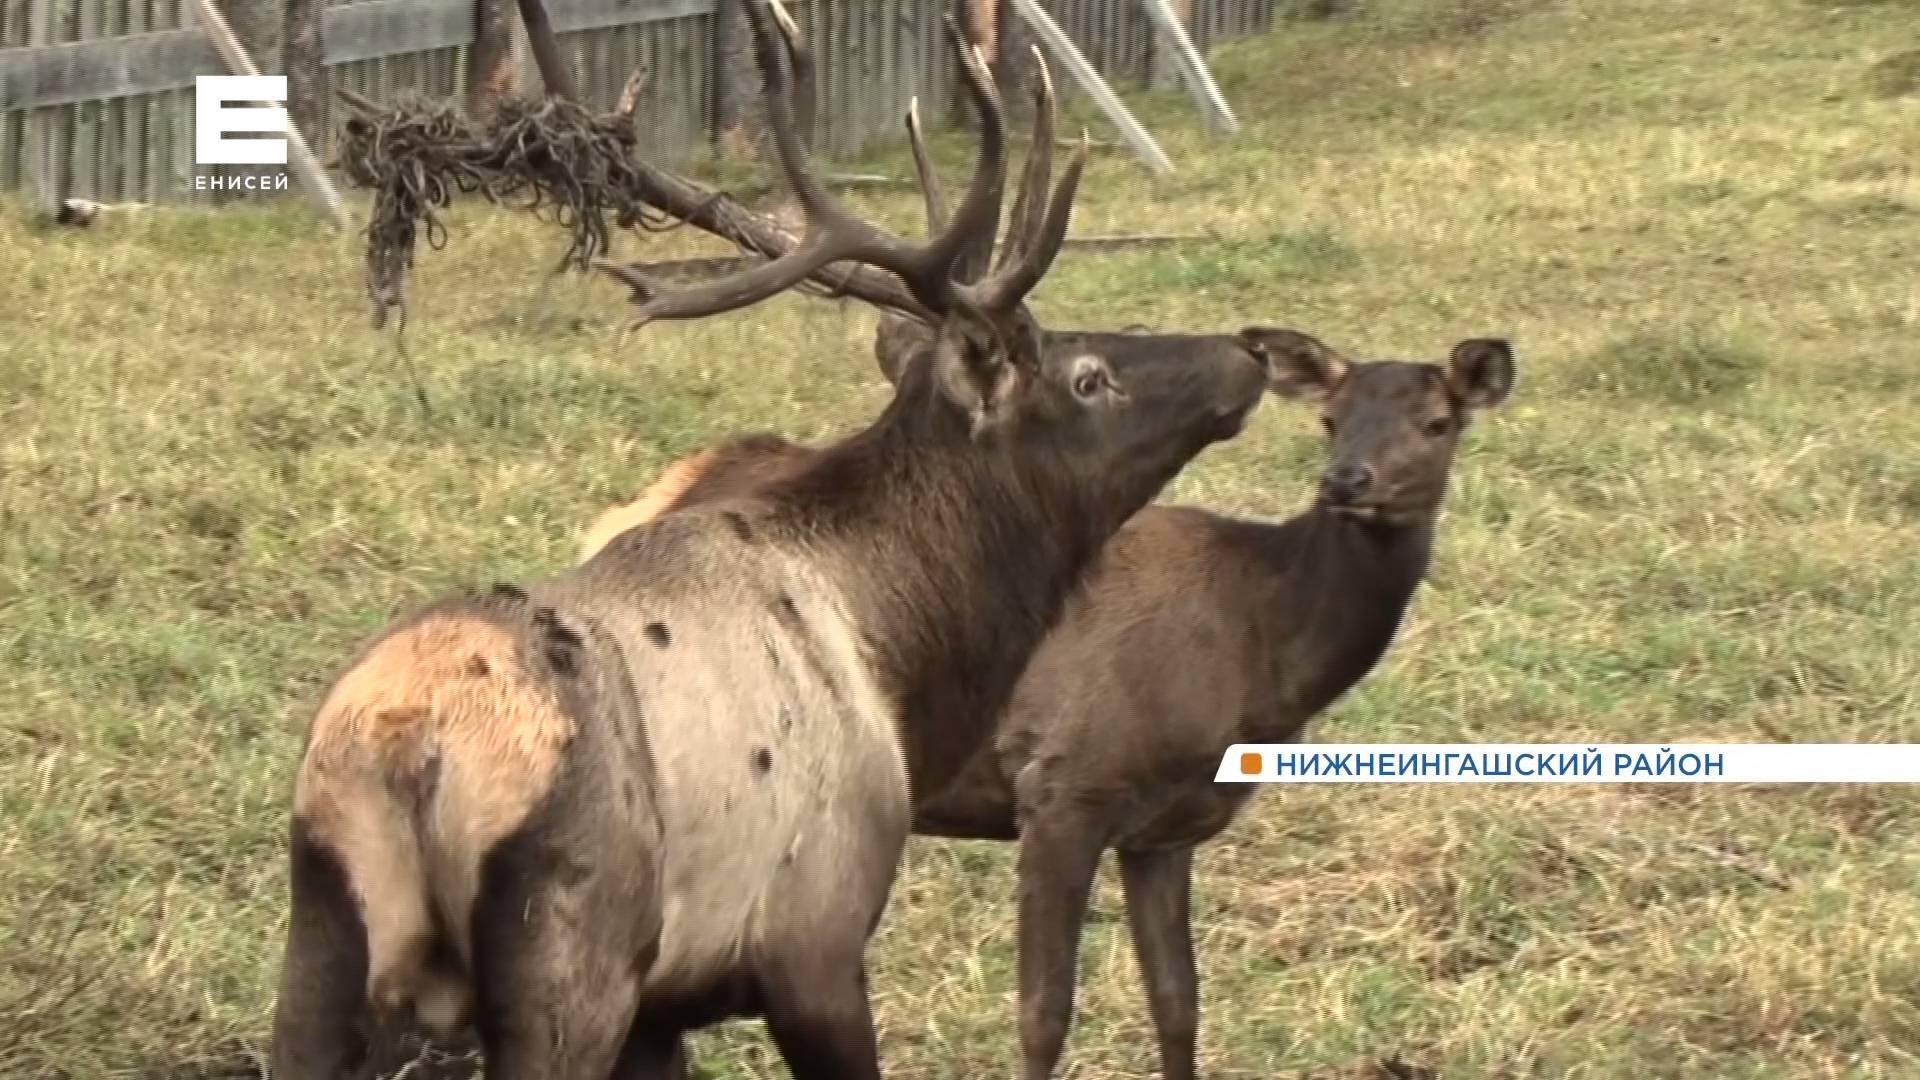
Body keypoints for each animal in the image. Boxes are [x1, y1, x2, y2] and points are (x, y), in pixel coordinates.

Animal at [259, 2, 1274, 1076]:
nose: (1244, 352)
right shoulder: (814, 940)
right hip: (566, 965)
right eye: (1089, 377)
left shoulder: (662, 1010)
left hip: (318, 954)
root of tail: (405, 748)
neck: (905, 656)